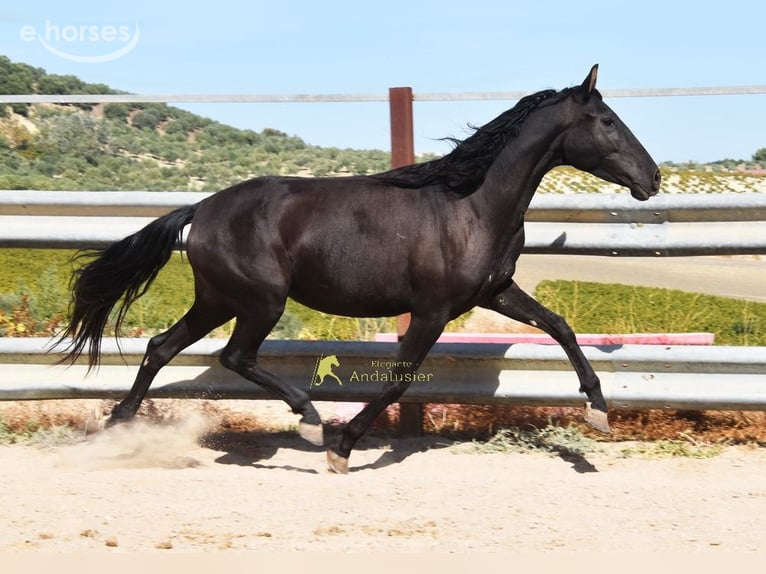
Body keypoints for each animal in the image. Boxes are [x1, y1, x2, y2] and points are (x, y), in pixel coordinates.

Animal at [57, 65, 660, 473]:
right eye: (607, 120)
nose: (651, 178)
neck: (472, 205)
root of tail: (201, 210)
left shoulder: (495, 292)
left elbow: (560, 326)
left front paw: (599, 411)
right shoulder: (433, 310)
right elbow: (399, 379)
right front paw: (344, 448)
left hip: (217, 299)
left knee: (161, 346)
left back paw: (119, 425)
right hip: (260, 301)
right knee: (233, 356)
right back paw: (309, 421)